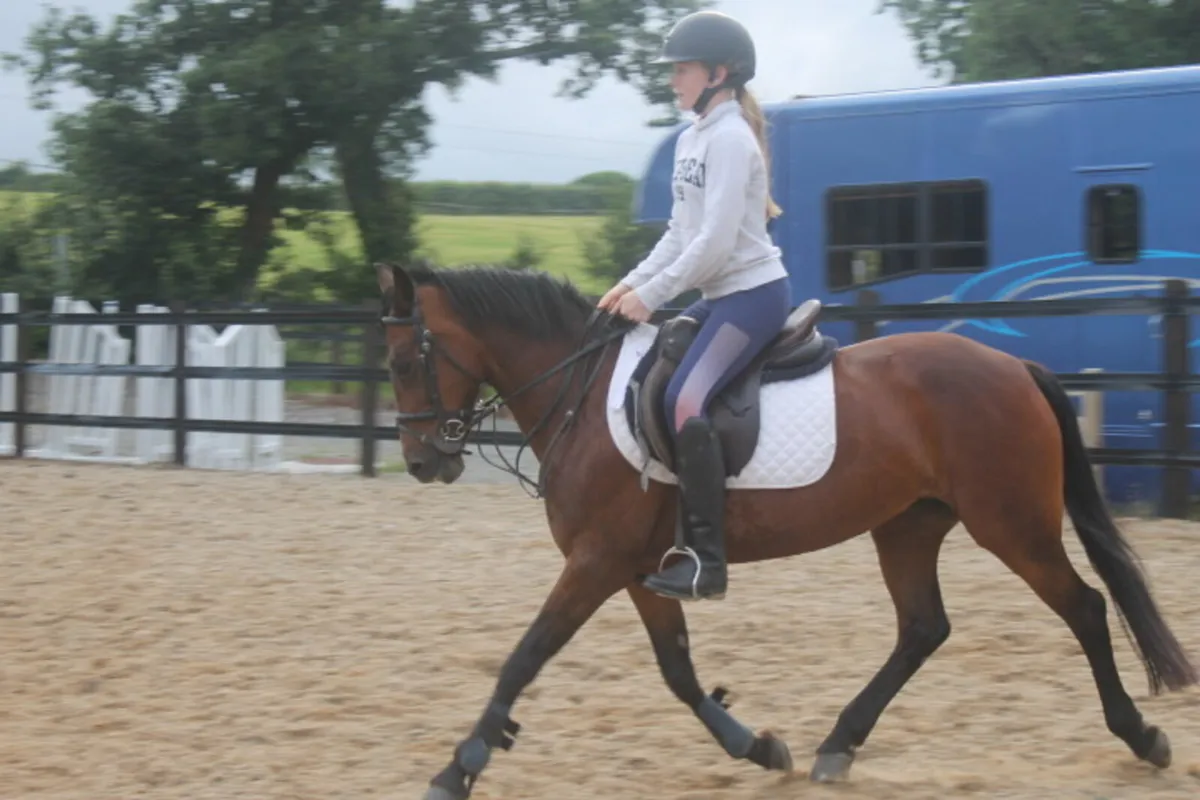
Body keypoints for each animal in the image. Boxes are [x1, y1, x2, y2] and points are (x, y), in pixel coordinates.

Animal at [373, 259, 1196, 800]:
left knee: (1084, 607)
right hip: (908, 526)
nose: (420, 461)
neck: (581, 393)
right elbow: (677, 671)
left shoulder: (596, 561)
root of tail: (1013, 365)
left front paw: (457, 767)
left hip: (1012, 524)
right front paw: (760, 748)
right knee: (923, 627)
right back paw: (837, 746)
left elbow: (525, 657)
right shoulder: (635, 567)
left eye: (406, 360)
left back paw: (1142, 736)